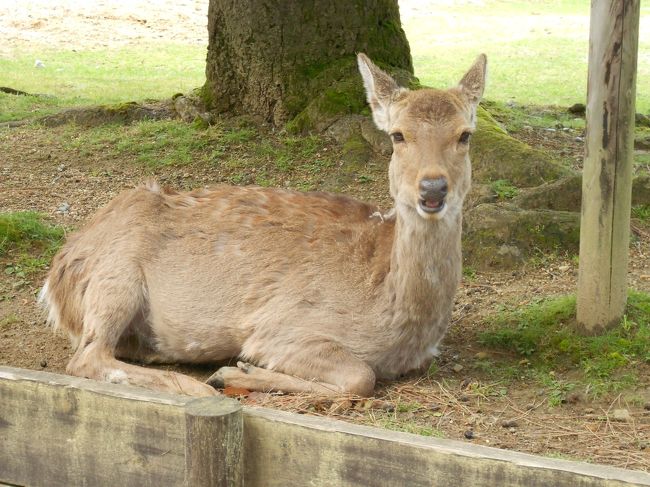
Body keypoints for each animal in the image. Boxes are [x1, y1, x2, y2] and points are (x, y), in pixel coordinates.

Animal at [40, 53, 487, 397]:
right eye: (397, 135)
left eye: (465, 135)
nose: (433, 188)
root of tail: (56, 275)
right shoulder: (281, 327)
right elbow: (361, 376)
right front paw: (236, 371)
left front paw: (237, 372)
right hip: (114, 279)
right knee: (87, 357)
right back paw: (199, 386)